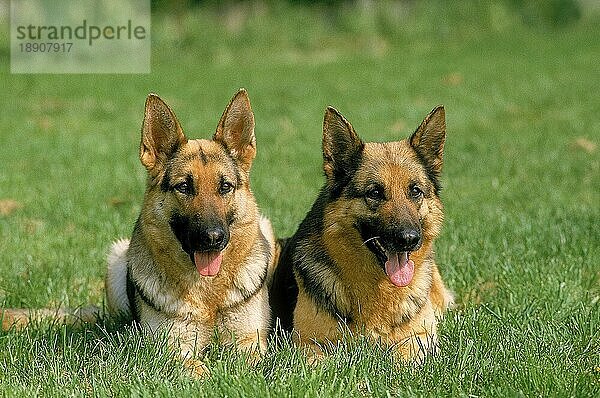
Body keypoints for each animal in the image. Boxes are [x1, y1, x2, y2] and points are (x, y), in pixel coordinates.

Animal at [106, 88, 276, 372]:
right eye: (184, 187)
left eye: (225, 187)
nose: (213, 238)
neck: (208, 293)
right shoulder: (172, 347)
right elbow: (198, 369)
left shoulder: (249, 341)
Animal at [270, 104, 452, 360]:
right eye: (374, 193)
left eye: (415, 191)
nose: (409, 239)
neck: (379, 287)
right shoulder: (308, 344)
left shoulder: (420, 338)